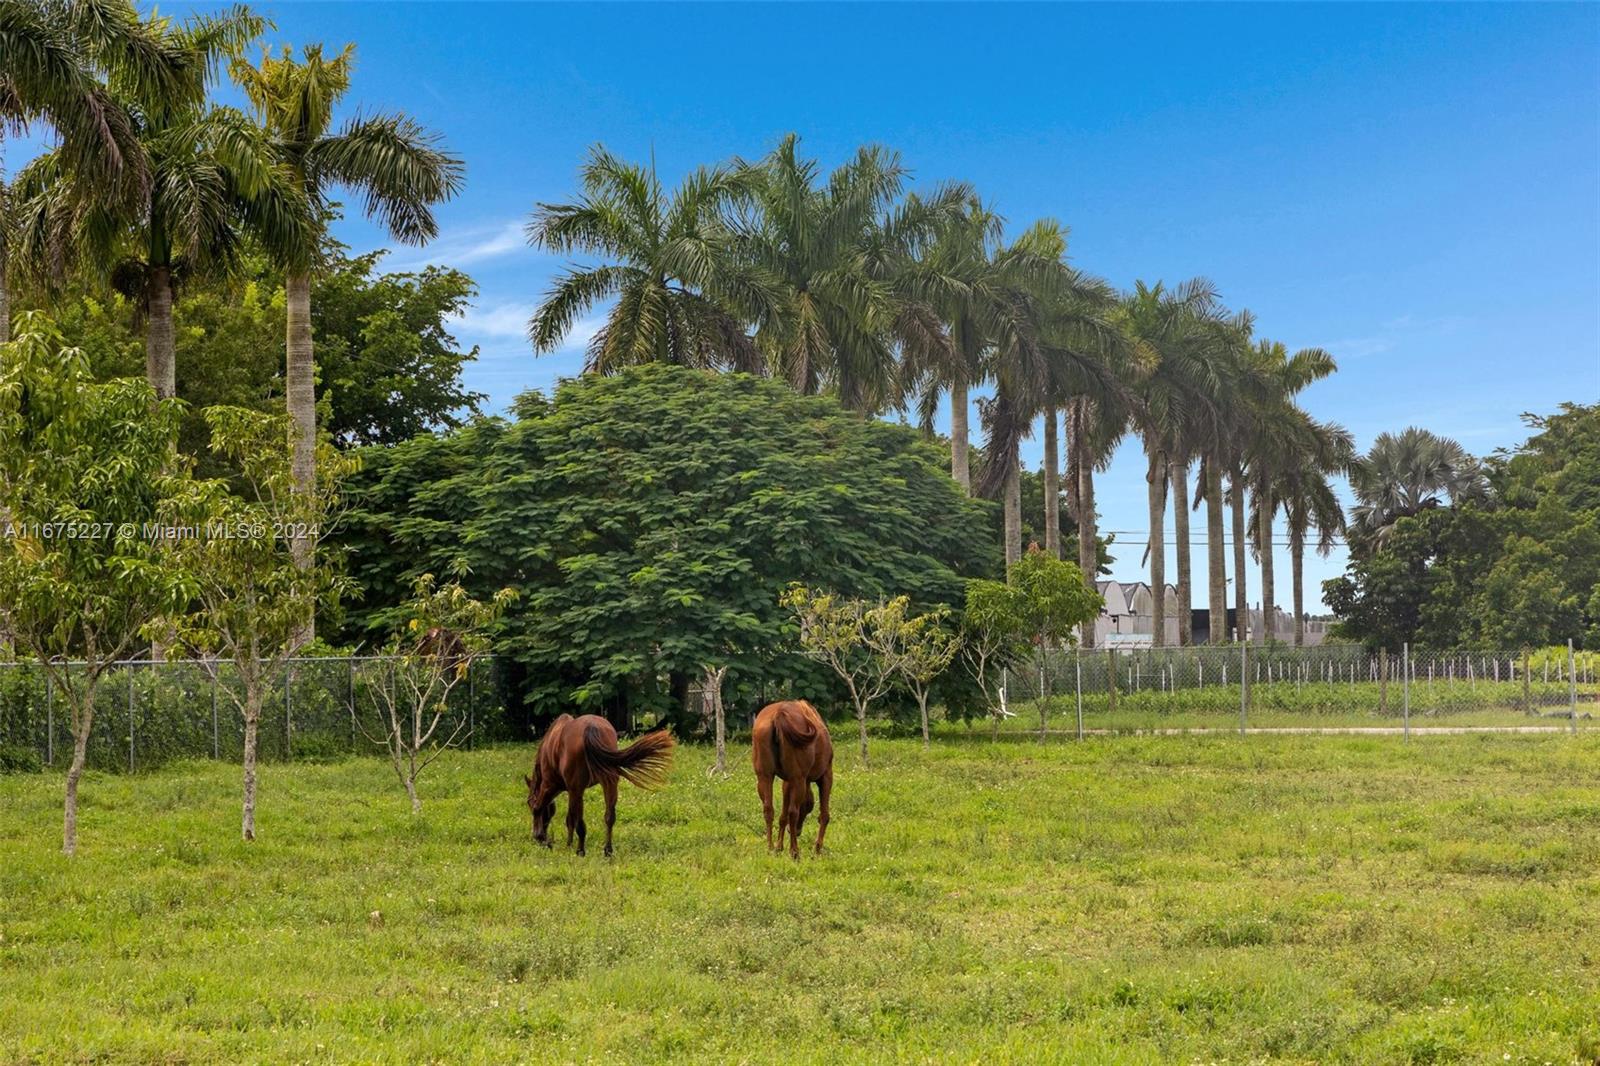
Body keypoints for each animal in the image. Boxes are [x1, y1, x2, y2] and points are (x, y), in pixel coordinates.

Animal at [524, 713, 675, 857]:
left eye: (529, 804)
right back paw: (608, 851)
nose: (541, 837)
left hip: (577, 789)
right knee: (609, 817)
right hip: (609, 782)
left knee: (580, 823)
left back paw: (580, 851)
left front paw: (548, 840)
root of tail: (591, 728)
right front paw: (566, 843)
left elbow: (545, 809)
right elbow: (569, 817)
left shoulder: (552, 786)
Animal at [748, 697, 832, 857]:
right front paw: (817, 848)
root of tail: (779, 714)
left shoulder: (787, 782)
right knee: (793, 812)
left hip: (764, 776)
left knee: (768, 809)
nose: (798, 831)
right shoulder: (825, 776)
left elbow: (782, 816)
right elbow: (824, 815)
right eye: (808, 808)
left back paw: (770, 847)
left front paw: (779, 846)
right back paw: (794, 851)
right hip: (797, 779)